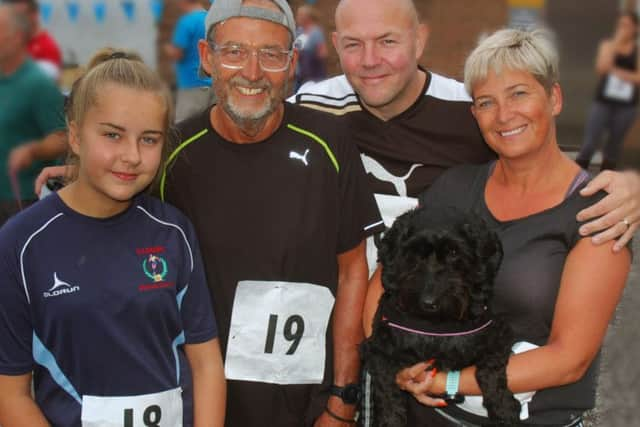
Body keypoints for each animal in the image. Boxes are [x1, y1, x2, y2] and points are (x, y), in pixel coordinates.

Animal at [360, 206, 520, 426]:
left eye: (454, 252)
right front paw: (390, 419)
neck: (436, 324)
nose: (429, 302)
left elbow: (491, 372)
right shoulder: (378, 351)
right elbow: (388, 395)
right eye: (415, 253)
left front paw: (503, 409)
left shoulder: (497, 335)